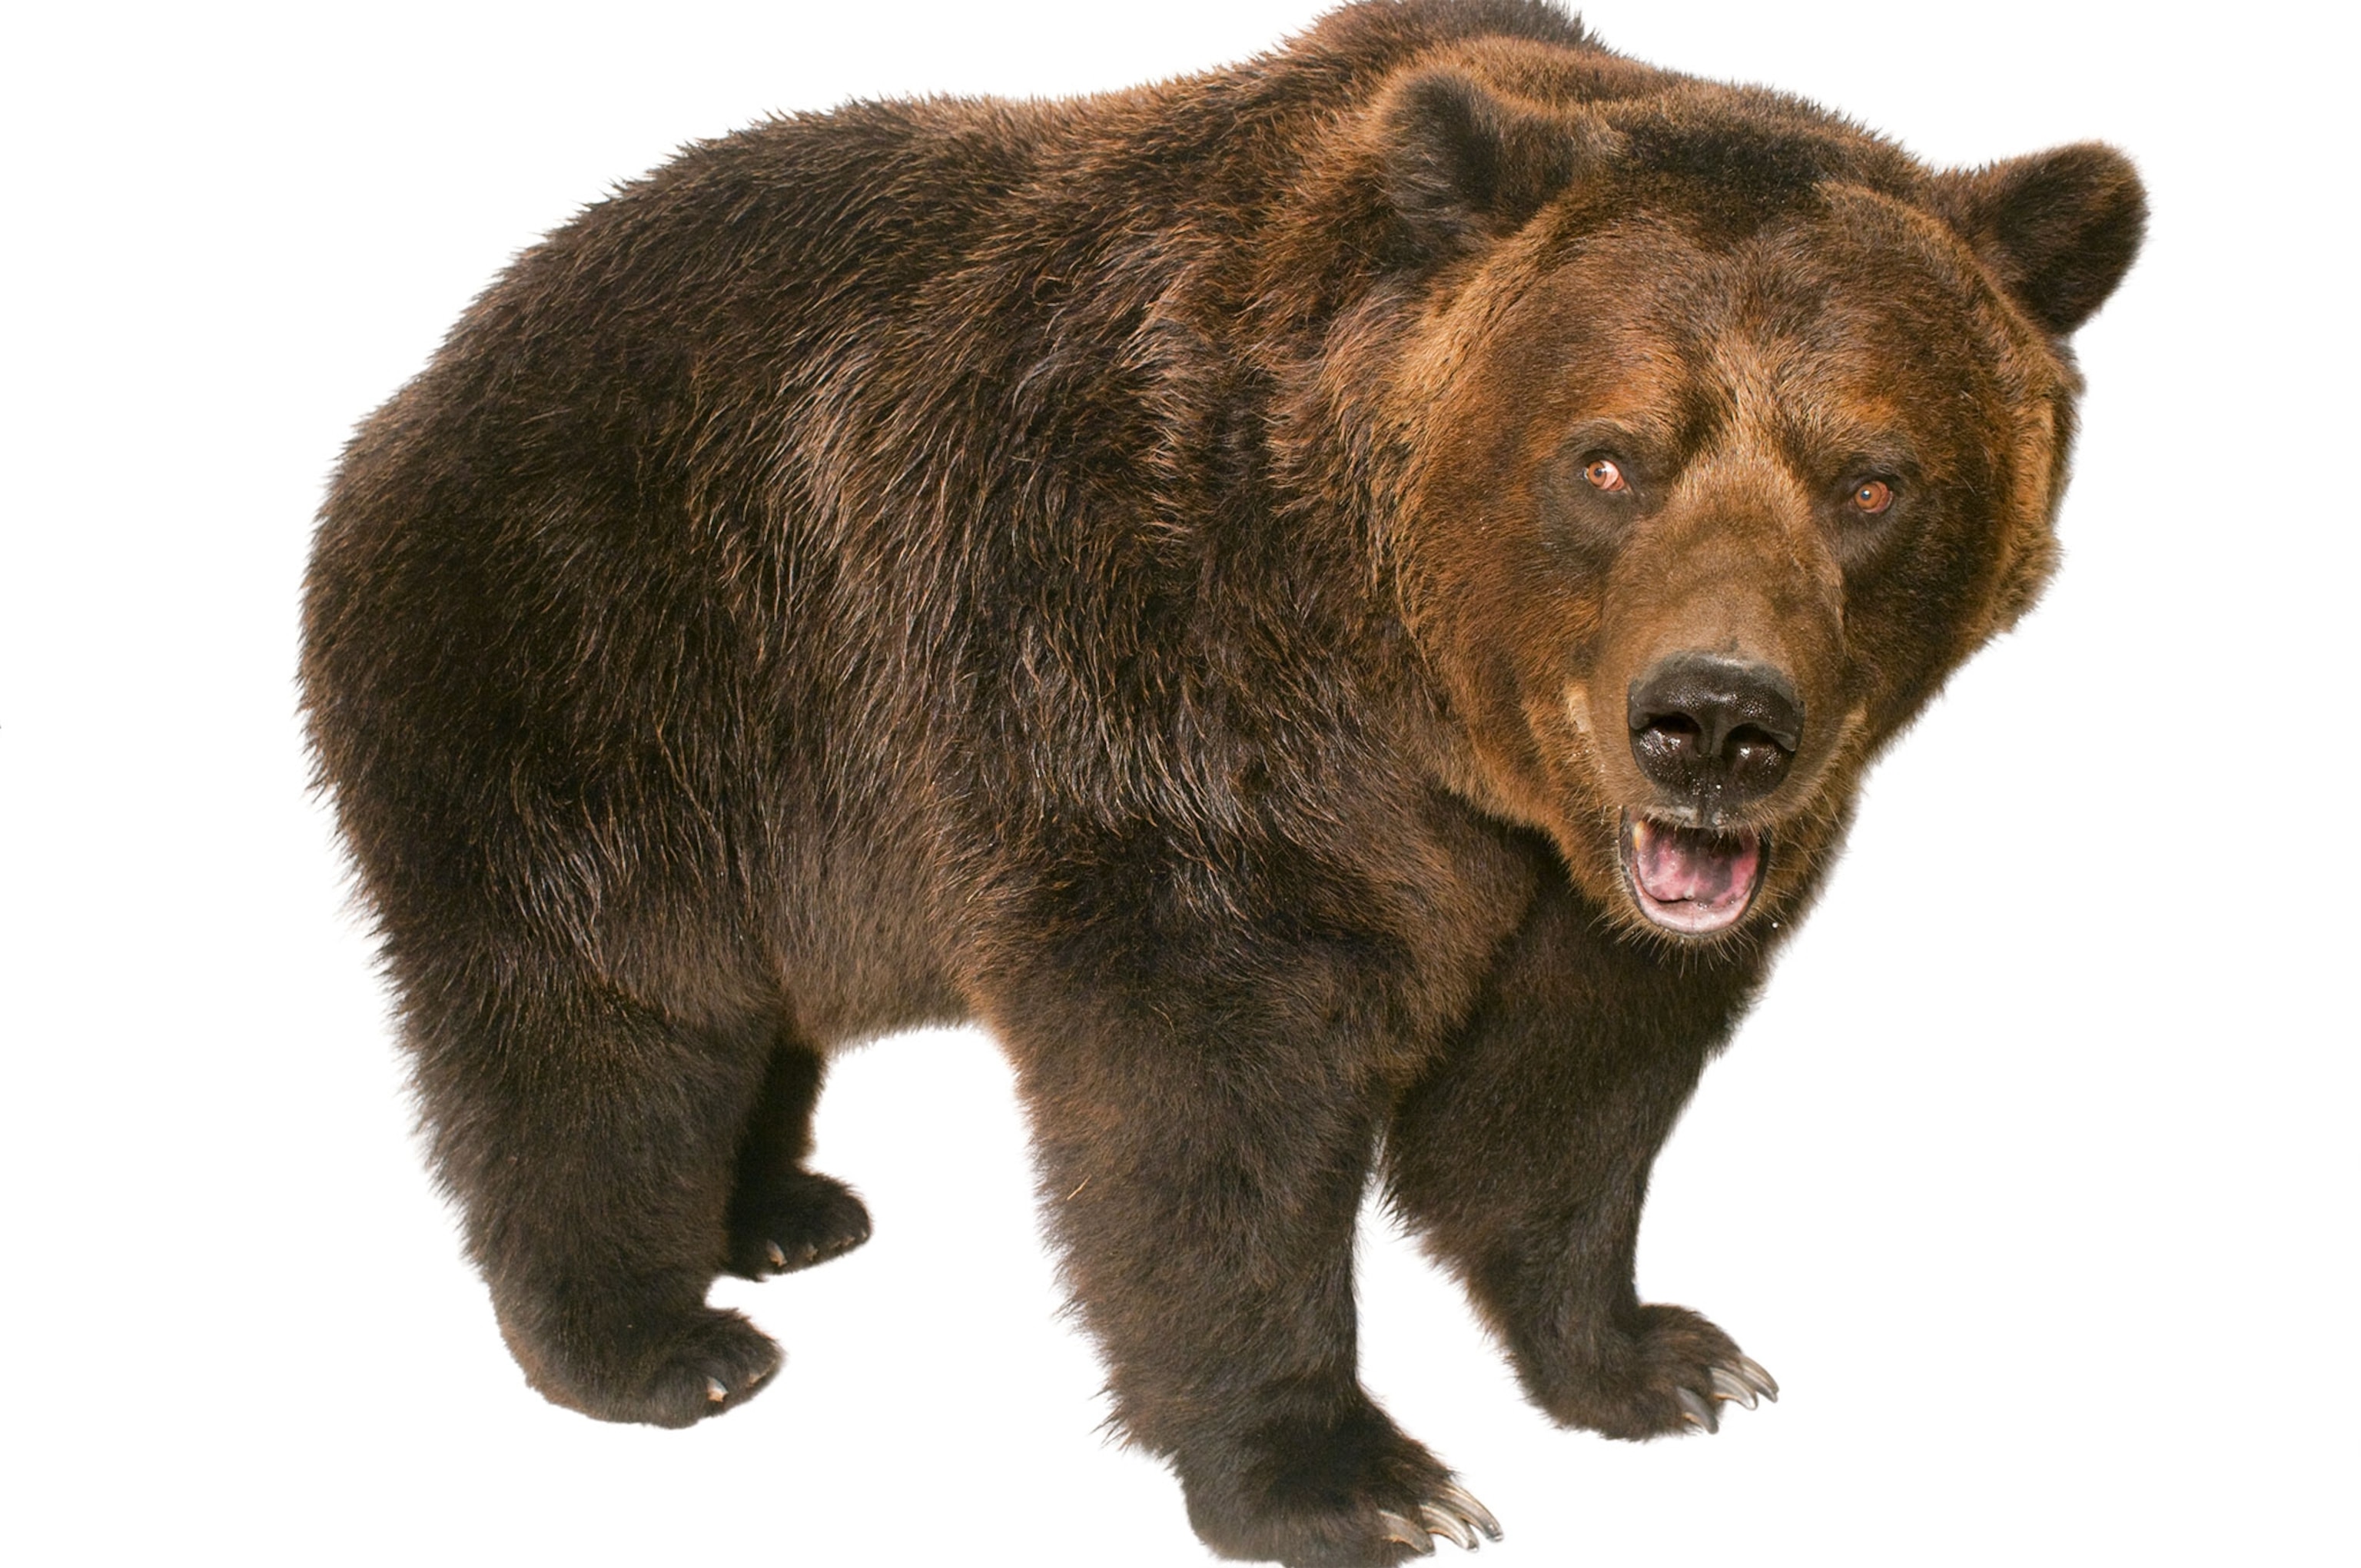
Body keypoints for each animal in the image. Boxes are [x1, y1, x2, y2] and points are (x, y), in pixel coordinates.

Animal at [299, 1, 2144, 1563]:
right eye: (1612, 457)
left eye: (1872, 480)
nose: (1712, 721)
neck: (1427, 704)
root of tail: (426, 376)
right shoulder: (1156, 675)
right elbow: (1212, 1099)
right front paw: (1344, 1474)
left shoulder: (1579, 878)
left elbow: (1567, 1088)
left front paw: (1655, 1356)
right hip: (606, 673)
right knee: (601, 1022)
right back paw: (656, 1334)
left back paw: (782, 1209)